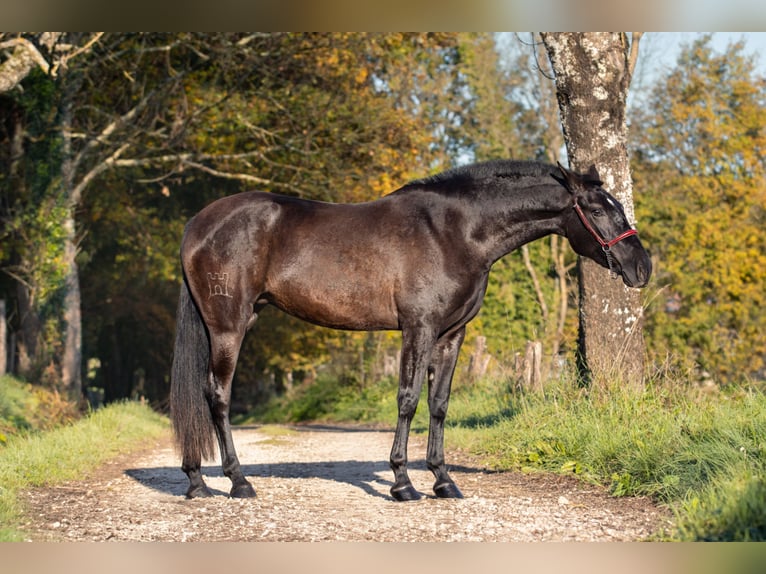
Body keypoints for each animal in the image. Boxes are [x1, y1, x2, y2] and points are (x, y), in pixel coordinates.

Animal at [170, 160, 656, 502]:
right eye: (599, 209)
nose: (641, 267)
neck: (454, 231)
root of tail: (197, 224)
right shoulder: (418, 329)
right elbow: (407, 400)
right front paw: (402, 482)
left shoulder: (451, 335)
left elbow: (439, 405)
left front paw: (443, 481)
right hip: (228, 327)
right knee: (217, 395)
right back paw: (238, 482)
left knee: (200, 394)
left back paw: (197, 482)